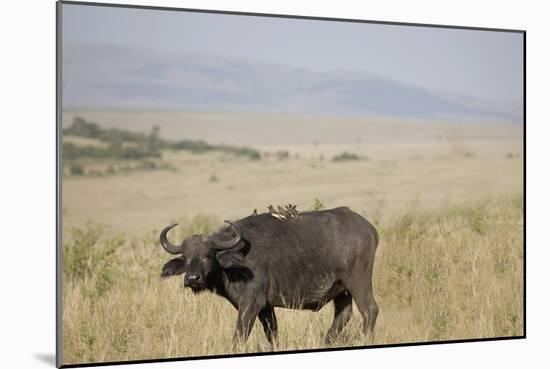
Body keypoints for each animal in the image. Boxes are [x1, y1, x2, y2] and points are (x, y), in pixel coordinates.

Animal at [161, 206, 380, 344]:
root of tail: (368, 228)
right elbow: (272, 334)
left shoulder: (251, 304)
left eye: (208, 256)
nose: (192, 279)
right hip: (342, 290)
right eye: (186, 257)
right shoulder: (266, 308)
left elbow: (239, 336)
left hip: (358, 282)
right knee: (343, 314)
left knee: (370, 310)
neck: (234, 263)